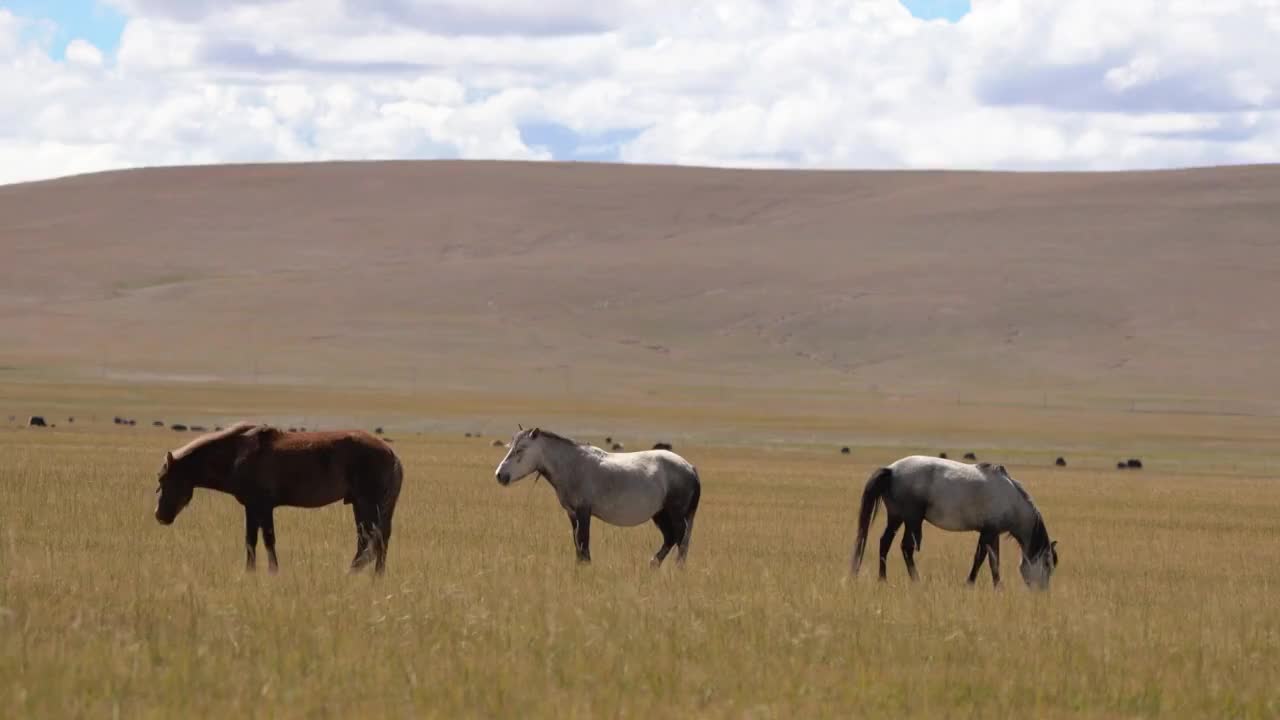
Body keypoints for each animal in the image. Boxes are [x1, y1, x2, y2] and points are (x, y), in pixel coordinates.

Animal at [154, 420, 404, 571]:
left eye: (163, 480)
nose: (160, 516)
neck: (236, 455)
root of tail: (392, 454)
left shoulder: (262, 506)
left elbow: (267, 541)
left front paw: (272, 572)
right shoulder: (253, 508)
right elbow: (251, 541)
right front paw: (250, 572)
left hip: (366, 504)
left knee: (371, 540)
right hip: (367, 506)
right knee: (376, 541)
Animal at [494, 425, 706, 566]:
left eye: (520, 449)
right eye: (510, 447)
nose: (500, 475)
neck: (572, 465)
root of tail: (690, 467)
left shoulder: (583, 511)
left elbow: (583, 540)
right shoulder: (572, 513)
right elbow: (577, 542)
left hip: (674, 513)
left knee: (679, 538)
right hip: (660, 514)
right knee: (671, 538)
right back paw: (654, 564)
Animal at [849, 456, 1059, 586]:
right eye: (1048, 564)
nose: (1042, 593)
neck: (1011, 498)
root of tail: (891, 470)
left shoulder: (993, 533)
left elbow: (994, 560)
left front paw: (998, 586)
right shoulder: (988, 533)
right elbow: (981, 558)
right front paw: (970, 583)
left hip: (896, 518)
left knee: (885, 542)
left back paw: (882, 580)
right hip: (912, 520)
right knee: (906, 547)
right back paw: (916, 581)